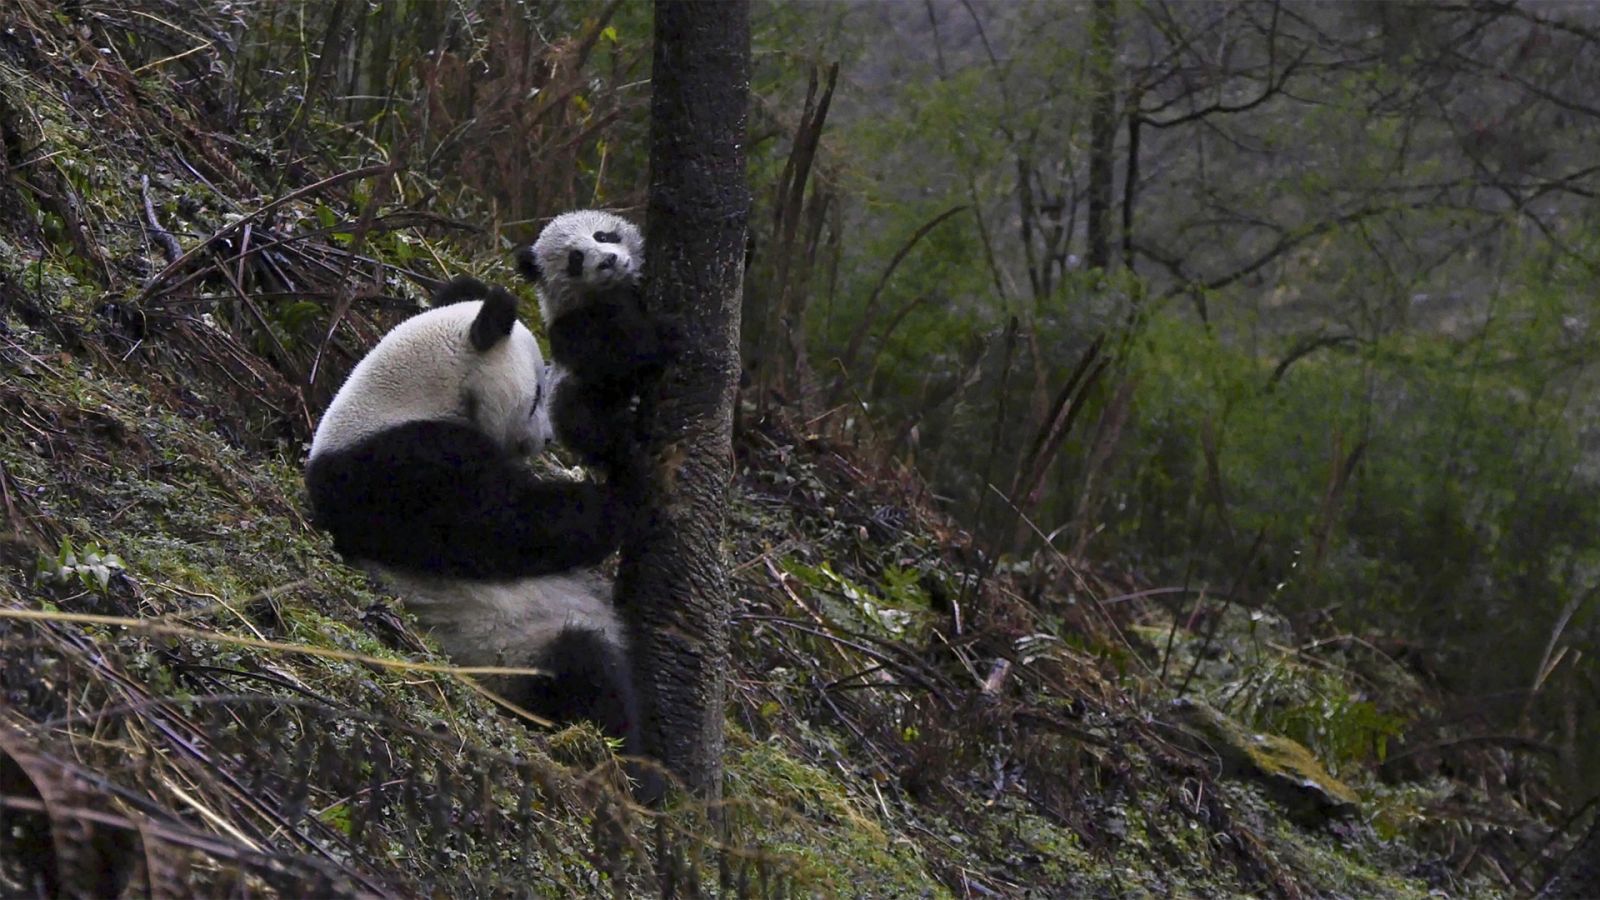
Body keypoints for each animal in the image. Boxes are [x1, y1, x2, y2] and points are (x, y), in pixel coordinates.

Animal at [305, 275, 656, 797]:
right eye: (535, 394)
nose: (547, 439)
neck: (402, 397)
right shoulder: (403, 469)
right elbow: (508, 527)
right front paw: (629, 487)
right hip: (507, 653)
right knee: (586, 672)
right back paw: (632, 773)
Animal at [514, 210, 673, 473]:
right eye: (575, 259)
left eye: (602, 235)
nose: (608, 261)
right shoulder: (570, 327)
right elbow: (612, 360)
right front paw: (660, 335)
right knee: (580, 417)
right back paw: (626, 446)